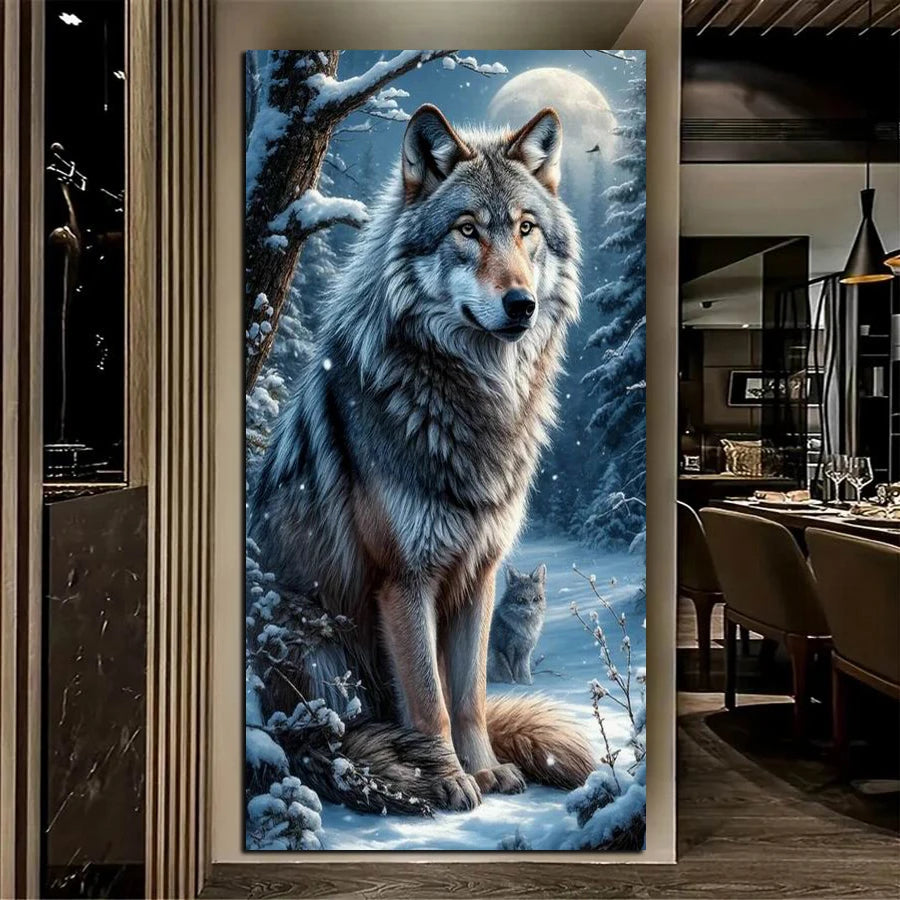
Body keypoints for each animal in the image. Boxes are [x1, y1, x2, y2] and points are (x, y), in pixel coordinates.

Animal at [251, 103, 594, 813]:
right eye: (467, 230)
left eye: (525, 229)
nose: (520, 304)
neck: (471, 400)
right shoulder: (404, 580)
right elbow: (431, 700)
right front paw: (449, 780)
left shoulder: (480, 575)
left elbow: (468, 697)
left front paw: (484, 771)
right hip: (318, 643)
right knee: (321, 740)